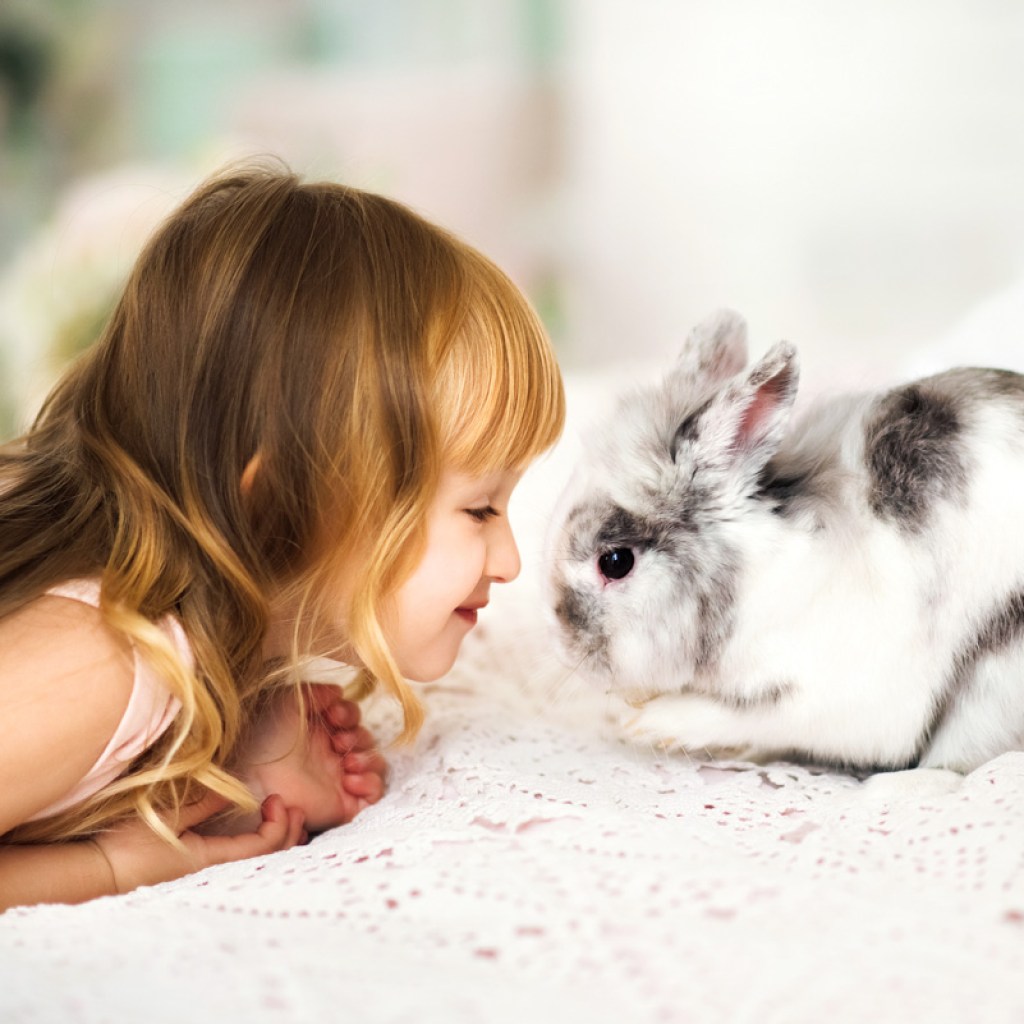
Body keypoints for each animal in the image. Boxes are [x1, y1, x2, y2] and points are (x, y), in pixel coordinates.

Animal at [547, 309, 1024, 773]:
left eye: (614, 562)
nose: (564, 649)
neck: (758, 579)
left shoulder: (836, 697)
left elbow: (749, 717)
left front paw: (649, 724)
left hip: (988, 693)